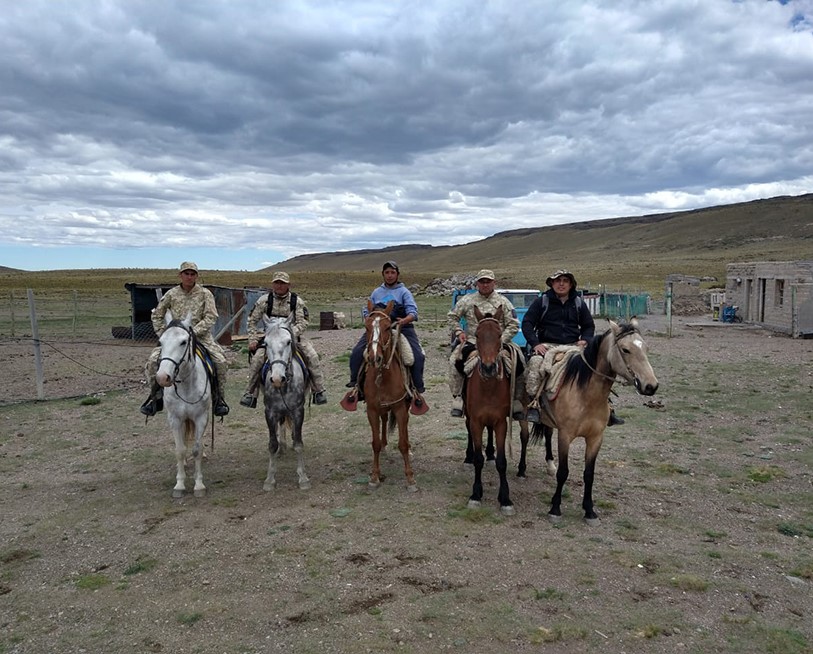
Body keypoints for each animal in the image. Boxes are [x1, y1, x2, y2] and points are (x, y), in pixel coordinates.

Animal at [156, 312, 213, 498]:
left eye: (183, 342)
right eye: (161, 342)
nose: (162, 377)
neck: (186, 385)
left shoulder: (201, 417)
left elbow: (197, 449)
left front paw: (199, 485)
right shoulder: (175, 419)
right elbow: (179, 450)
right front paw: (179, 485)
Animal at [262, 316, 310, 492]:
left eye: (289, 341)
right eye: (266, 343)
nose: (276, 379)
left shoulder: (298, 411)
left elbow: (298, 444)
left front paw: (303, 478)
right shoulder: (269, 413)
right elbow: (272, 444)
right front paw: (270, 479)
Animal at [364, 302, 416, 492]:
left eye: (387, 327)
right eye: (366, 326)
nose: (375, 357)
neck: (383, 376)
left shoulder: (400, 408)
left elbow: (402, 443)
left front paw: (410, 479)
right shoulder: (372, 410)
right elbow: (375, 443)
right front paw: (374, 476)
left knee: (405, 427)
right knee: (385, 420)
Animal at [532, 320, 660, 524]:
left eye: (646, 348)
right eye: (625, 350)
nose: (651, 386)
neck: (587, 396)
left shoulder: (595, 438)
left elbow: (589, 474)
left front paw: (589, 510)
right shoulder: (565, 436)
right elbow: (563, 472)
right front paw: (555, 508)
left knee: (548, 433)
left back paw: (550, 465)